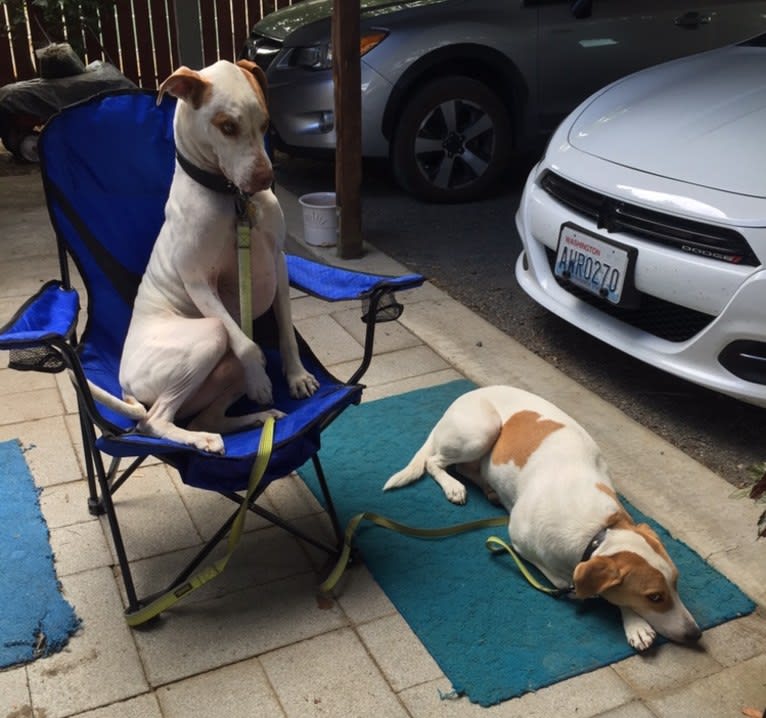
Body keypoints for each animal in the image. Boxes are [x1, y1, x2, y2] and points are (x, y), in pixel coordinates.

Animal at [384, 388, 704, 652]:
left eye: (676, 583)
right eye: (654, 597)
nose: (696, 633)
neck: (596, 531)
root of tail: (465, 396)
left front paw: (633, 623)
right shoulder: (523, 544)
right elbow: (578, 584)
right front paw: (629, 618)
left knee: (464, 467)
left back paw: (488, 489)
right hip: (480, 432)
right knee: (434, 462)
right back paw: (454, 486)